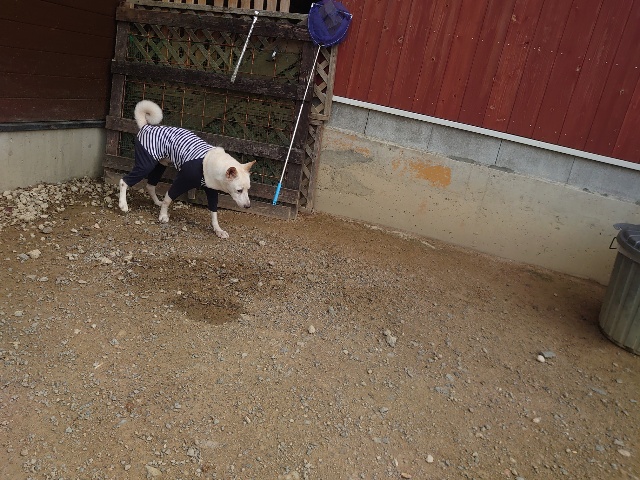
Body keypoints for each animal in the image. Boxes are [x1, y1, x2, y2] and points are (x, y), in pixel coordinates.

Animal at [118, 100, 254, 238]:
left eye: (248, 189)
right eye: (239, 190)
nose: (248, 206)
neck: (214, 164)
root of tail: (146, 126)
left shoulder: (211, 191)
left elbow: (214, 213)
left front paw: (218, 230)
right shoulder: (181, 181)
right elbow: (168, 198)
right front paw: (163, 216)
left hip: (160, 165)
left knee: (150, 185)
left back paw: (156, 202)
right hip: (145, 165)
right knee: (124, 181)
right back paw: (123, 204)